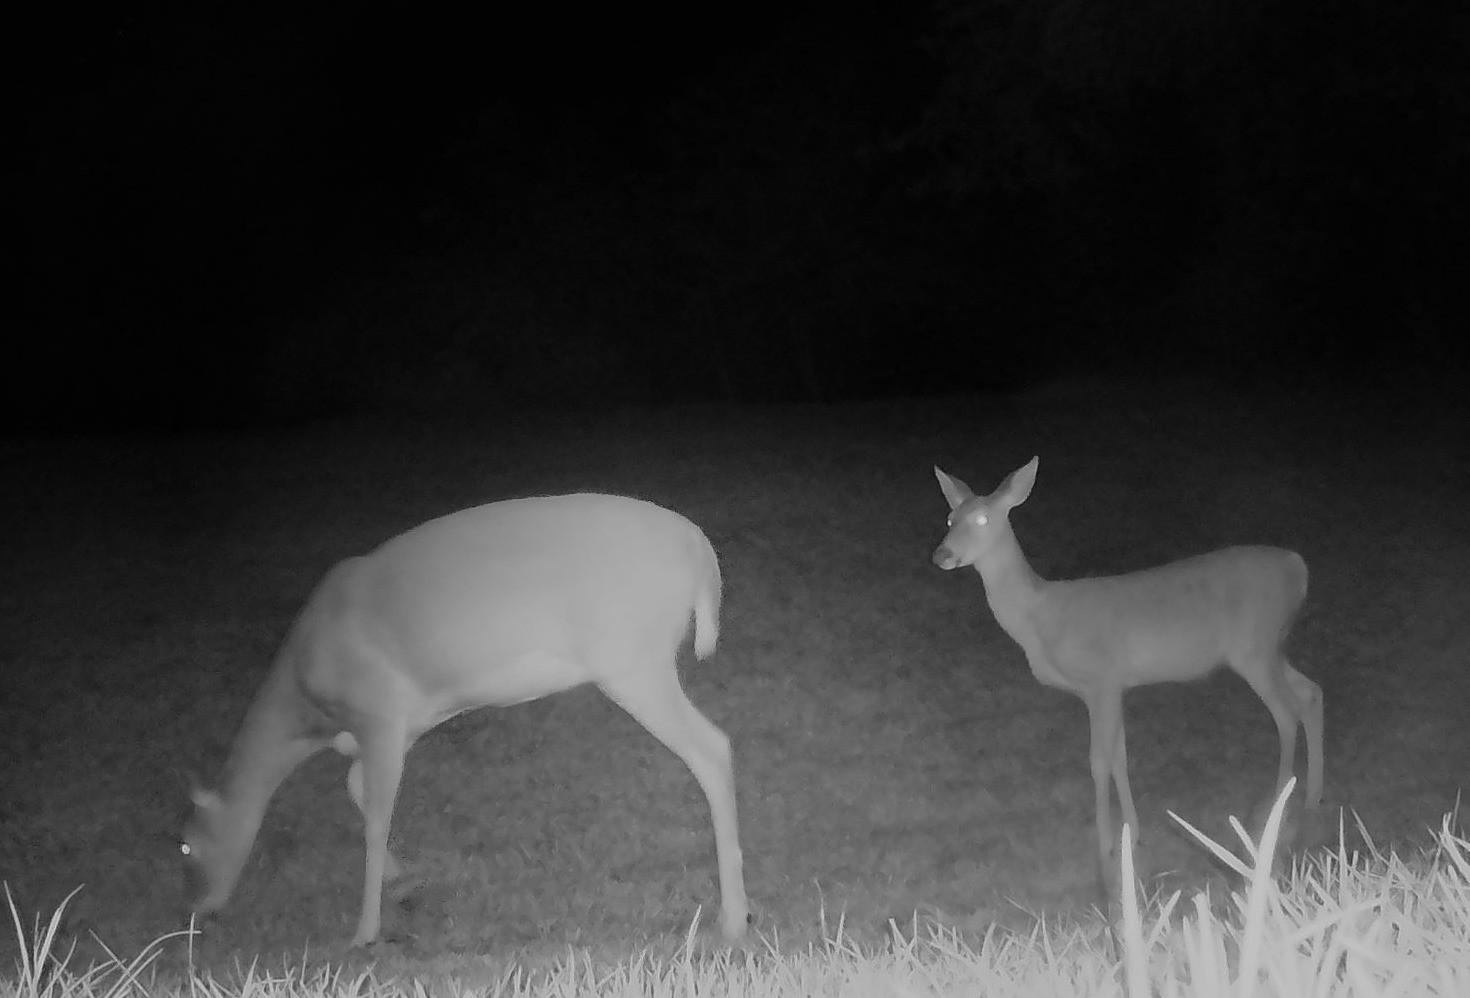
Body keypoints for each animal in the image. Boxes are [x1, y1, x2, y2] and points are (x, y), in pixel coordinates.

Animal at [180, 493, 750, 947]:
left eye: (185, 845)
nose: (197, 912)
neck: (306, 704)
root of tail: (699, 548)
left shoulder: (378, 711)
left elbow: (376, 815)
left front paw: (364, 931)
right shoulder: (405, 724)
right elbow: (357, 787)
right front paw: (403, 881)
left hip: (631, 658)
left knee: (713, 747)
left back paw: (734, 919)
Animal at [931, 457, 1323, 891]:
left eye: (983, 518)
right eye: (949, 517)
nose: (942, 554)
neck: (1041, 619)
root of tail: (1298, 566)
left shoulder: (1101, 677)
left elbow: (1099, 761)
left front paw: (1103, 851)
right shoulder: (1112, 685)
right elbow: (1119, 755)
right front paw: (1131, 835)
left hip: (1254, 646)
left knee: (1286, 711)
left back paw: (1277, 808)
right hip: (1270, 646)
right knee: (1310, 692)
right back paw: (1312, 799)